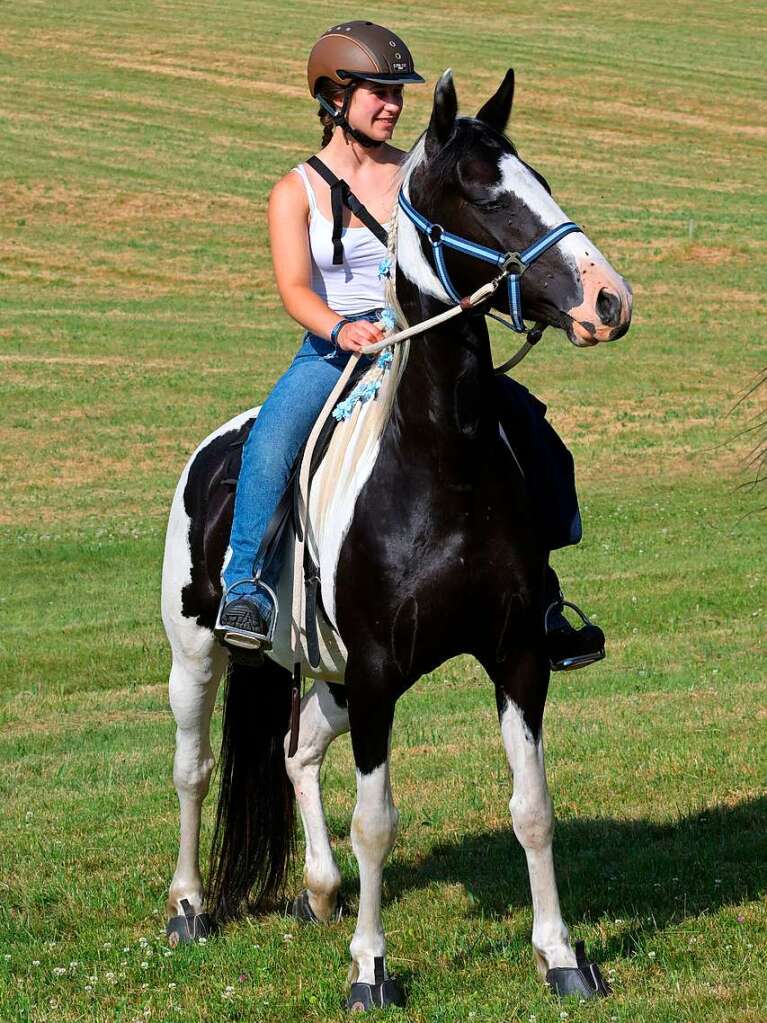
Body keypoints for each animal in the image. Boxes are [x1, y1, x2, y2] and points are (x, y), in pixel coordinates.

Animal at [159, 70, 634, 1006]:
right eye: (486, 195)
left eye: (541, 181)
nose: (609, 301)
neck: (439, 464)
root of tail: (218, 446)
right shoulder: (379, 672)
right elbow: (375, 821)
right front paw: (370, 970)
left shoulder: (515, 657)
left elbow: (533, 808)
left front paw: (561, 955)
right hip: (200, 653)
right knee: (194, 767)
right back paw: (190, 905)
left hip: (330, 675)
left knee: (296, 747)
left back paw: (315, 891)